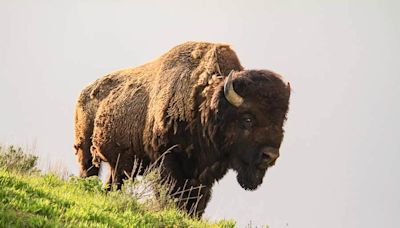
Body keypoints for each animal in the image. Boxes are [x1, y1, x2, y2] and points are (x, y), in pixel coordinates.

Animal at [72, 41, 290, 216]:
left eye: (282, 121)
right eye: (247, 119)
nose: (270, 155)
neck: (205, 104)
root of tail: (84, 92)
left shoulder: (203, 176)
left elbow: (197, 203)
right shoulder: (167, 161)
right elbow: (172, 194)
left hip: (121, 166)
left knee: (113, 183)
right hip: (86, 152)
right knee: (89, 172)